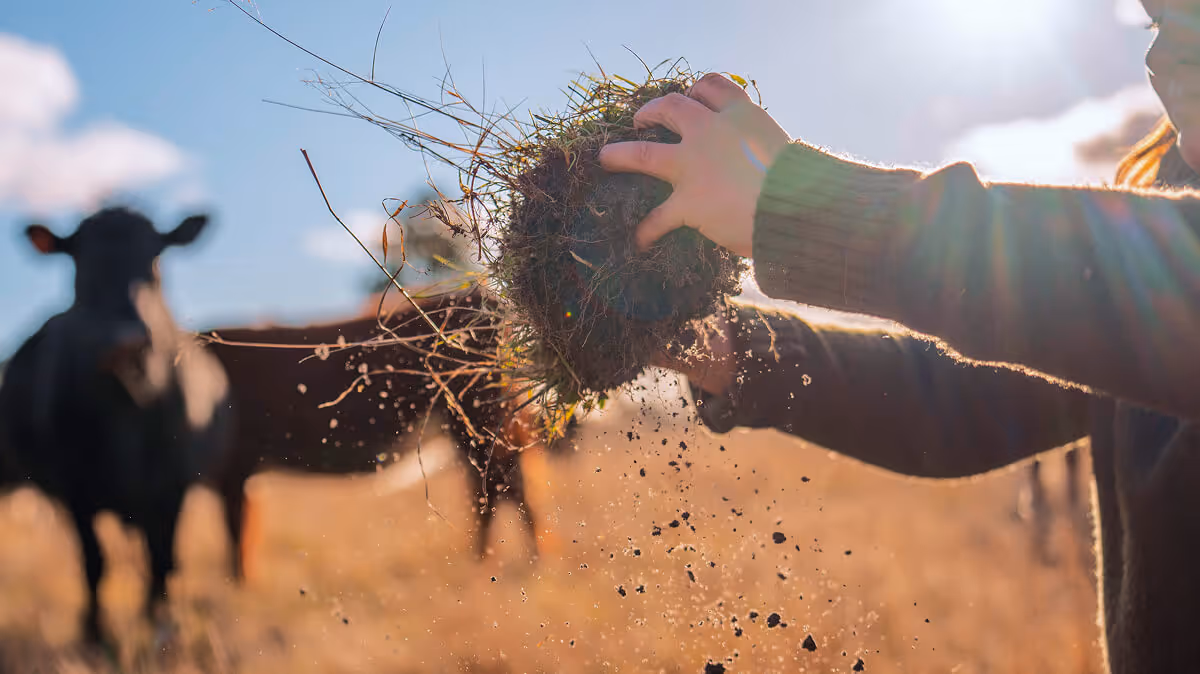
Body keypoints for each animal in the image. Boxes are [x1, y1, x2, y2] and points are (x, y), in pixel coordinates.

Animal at [0, 207, 230, 646]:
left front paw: (161, 628)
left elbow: (163, 559)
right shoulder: (74, 492)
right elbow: (94, 562)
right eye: (79, 267)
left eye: (155, 261)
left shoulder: (172, 487)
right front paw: (94, 635)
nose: (123, 342)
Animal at [201, 287, 578, 581]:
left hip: (483, 424)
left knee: (507, 487)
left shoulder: (235, 469)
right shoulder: (246, 475)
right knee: (496, 489)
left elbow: (238, 536)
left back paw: (516, 563)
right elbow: (247, 533)